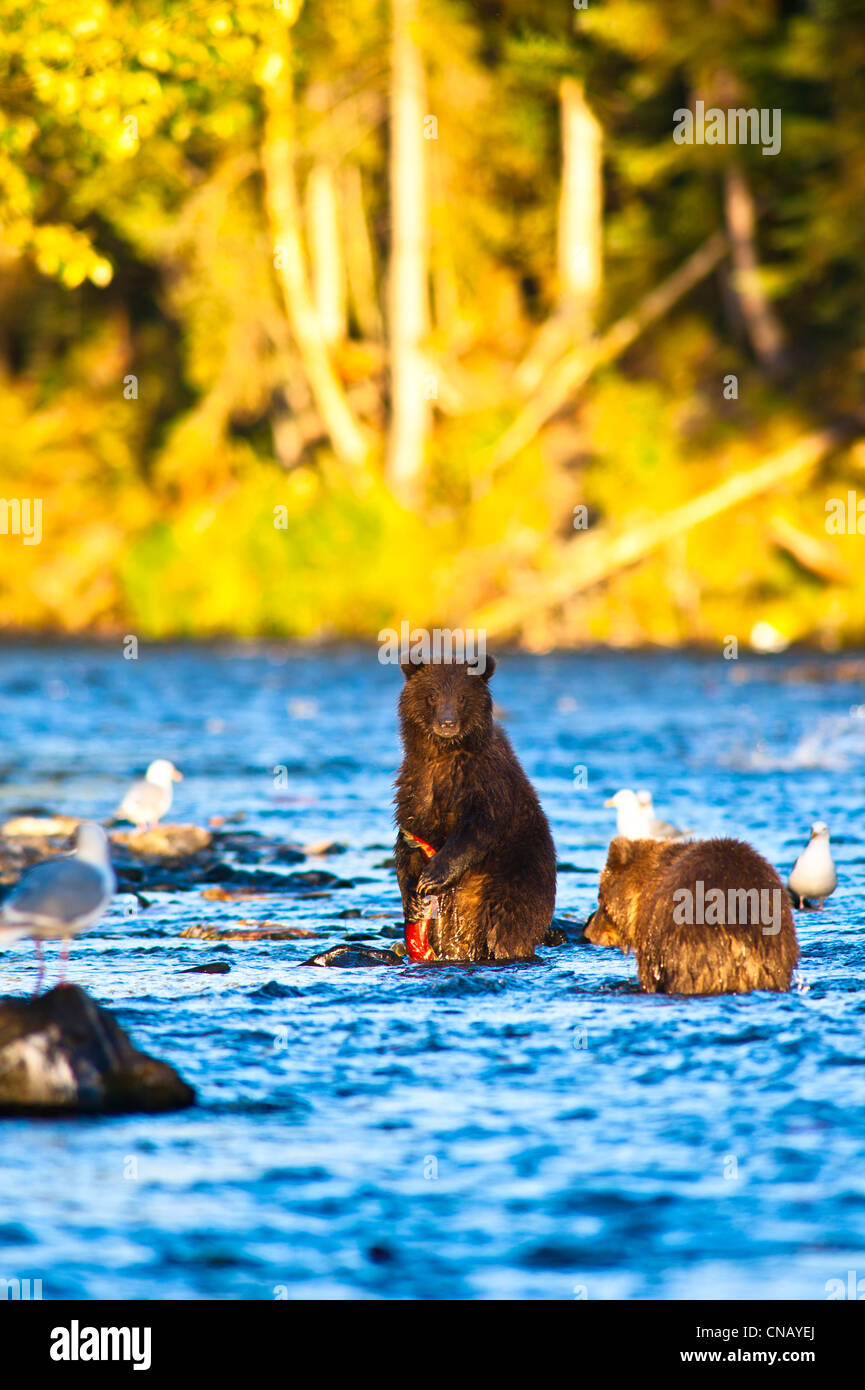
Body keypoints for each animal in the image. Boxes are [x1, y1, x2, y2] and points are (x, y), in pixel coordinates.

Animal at [394, 656, 557, 961]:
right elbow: (408, 837)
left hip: (515, 880)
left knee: (509, 926)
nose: (447, 722)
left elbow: (481, 826)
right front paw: (413, 897)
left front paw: (432, 876)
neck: (444, 753)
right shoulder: (417, 784)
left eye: (461, 697)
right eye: (432, 695)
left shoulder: (485, 778)